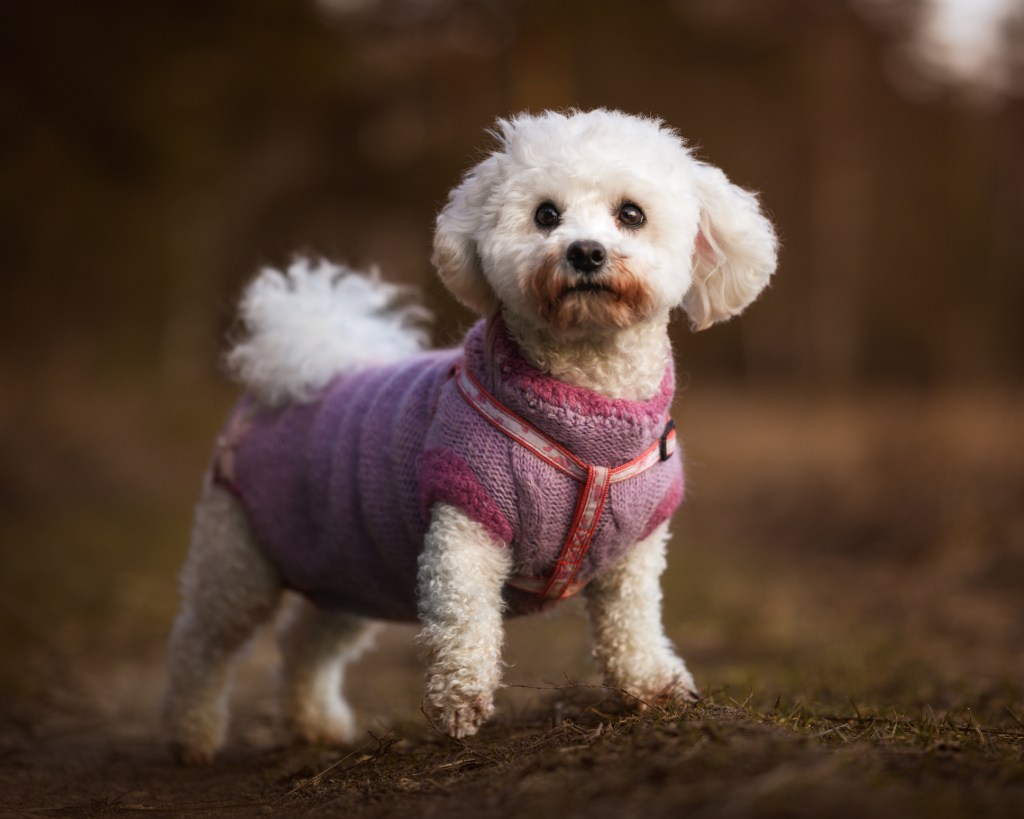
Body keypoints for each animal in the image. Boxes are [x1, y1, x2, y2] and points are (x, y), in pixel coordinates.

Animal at [159, 106, 774, 761]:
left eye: (631, 214)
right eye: (546, 215)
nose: (585, 252)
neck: (587, 416)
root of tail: (304, 366)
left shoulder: (634, 549)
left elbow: (632, 622)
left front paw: (652, 684)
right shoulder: (467, 518)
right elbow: (464, 615)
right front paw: (461, 698)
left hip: (350, 565)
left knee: (307, 638)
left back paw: (315, 723)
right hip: (239, 556)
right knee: (201, 643)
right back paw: (190, 735)